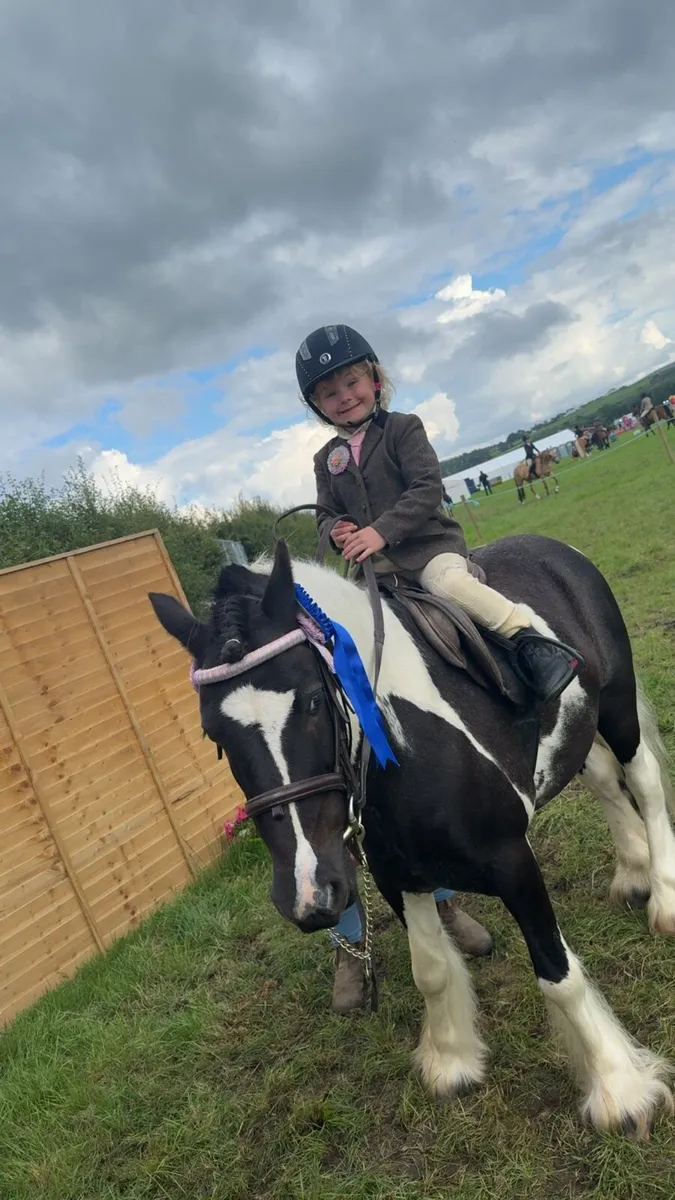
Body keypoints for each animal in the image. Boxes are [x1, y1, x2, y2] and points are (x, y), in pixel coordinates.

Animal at [149, 533, 675, 1136]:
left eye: (311, 699)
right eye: (214, 733)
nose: (308, 893)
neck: (404, 747)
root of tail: (551, 546)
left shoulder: (512, 861)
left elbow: (557, 974)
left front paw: (619, 1088)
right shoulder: (399, 875)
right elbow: (432, 972)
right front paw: (452, 1061)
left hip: (616, 701)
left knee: (643, 780)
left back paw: (664, 898)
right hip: (573, 730)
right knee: (607, 781)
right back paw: (633, 872)